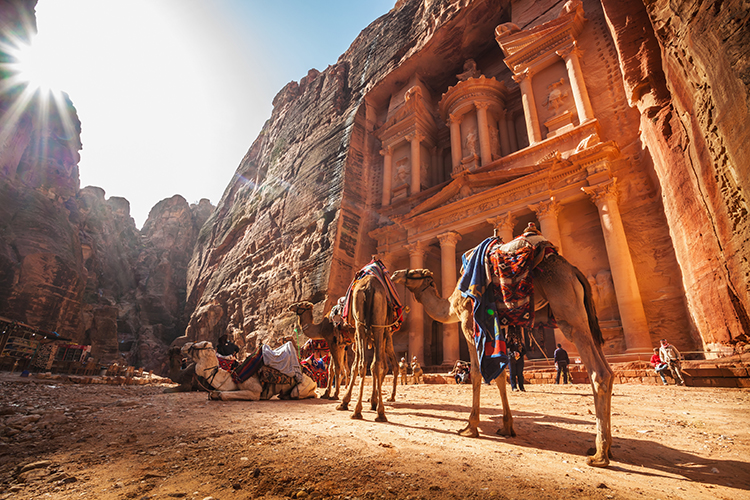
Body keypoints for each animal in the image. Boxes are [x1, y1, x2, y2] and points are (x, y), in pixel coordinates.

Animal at [186, 340, 320, 402]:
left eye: (197, 346)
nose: (184, 346)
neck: (234, 376)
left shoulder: (255, 392)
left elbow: (222, 395)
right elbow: (215, 393)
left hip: (303, 386)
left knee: (302, 393)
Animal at [390, 244, 612, 466]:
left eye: (415, 272)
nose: (395, 274)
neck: (452, 305)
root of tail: (574, 271)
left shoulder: (469, 323)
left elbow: (477, 372)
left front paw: (470, 427)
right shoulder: (496, 328)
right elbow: (500, 376)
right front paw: (506, 427)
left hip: (566, 304)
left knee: (598, 372)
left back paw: (599, 455)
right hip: (584, 312)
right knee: (608, 371)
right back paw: (605, 448)